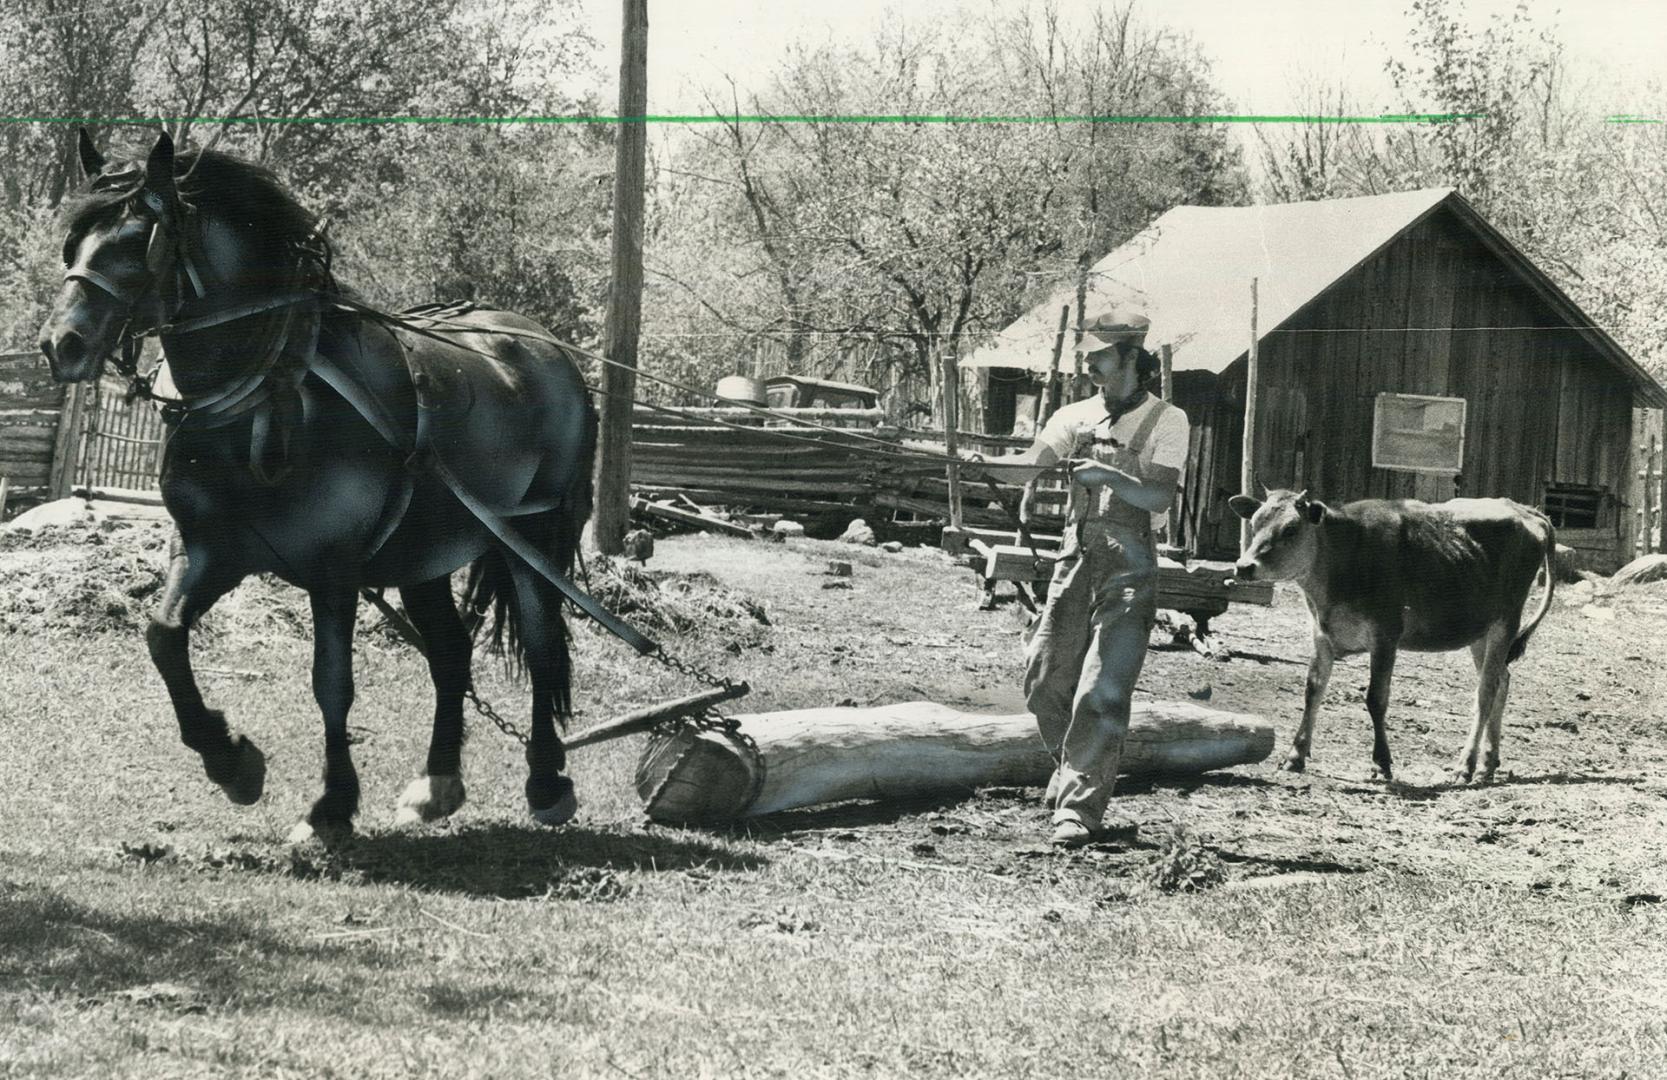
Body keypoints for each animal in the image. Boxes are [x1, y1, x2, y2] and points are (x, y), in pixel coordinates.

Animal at [35, 132, 600, 843]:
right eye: (74, 240)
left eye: (140, 242)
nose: (61, 344)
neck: (270, 393)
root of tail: (549, 347)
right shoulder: (209, 550)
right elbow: (163, 636)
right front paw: (231, 763)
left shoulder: (334, 569)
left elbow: (332, 682)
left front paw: (330, 805)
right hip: (422, 556)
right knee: (451, 653)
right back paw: (436, 784)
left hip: (532, 539)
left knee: (545, 645)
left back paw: (547, 782)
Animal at [1233, 490, 1553, 783]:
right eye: (1255, 523)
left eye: (1290, 528)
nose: (1244, 566)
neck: (1343, 554)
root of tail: (1523, 509)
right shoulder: (1322, 635)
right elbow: (1313, 691)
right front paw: (1295, 756)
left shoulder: (1385, 635)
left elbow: (1376, 698)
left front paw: (1381, 763)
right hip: (1480, 630)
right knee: (1502, 681)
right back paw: (1488, 762)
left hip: (1505, 621)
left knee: (1486, 691)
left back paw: (1466, 765)